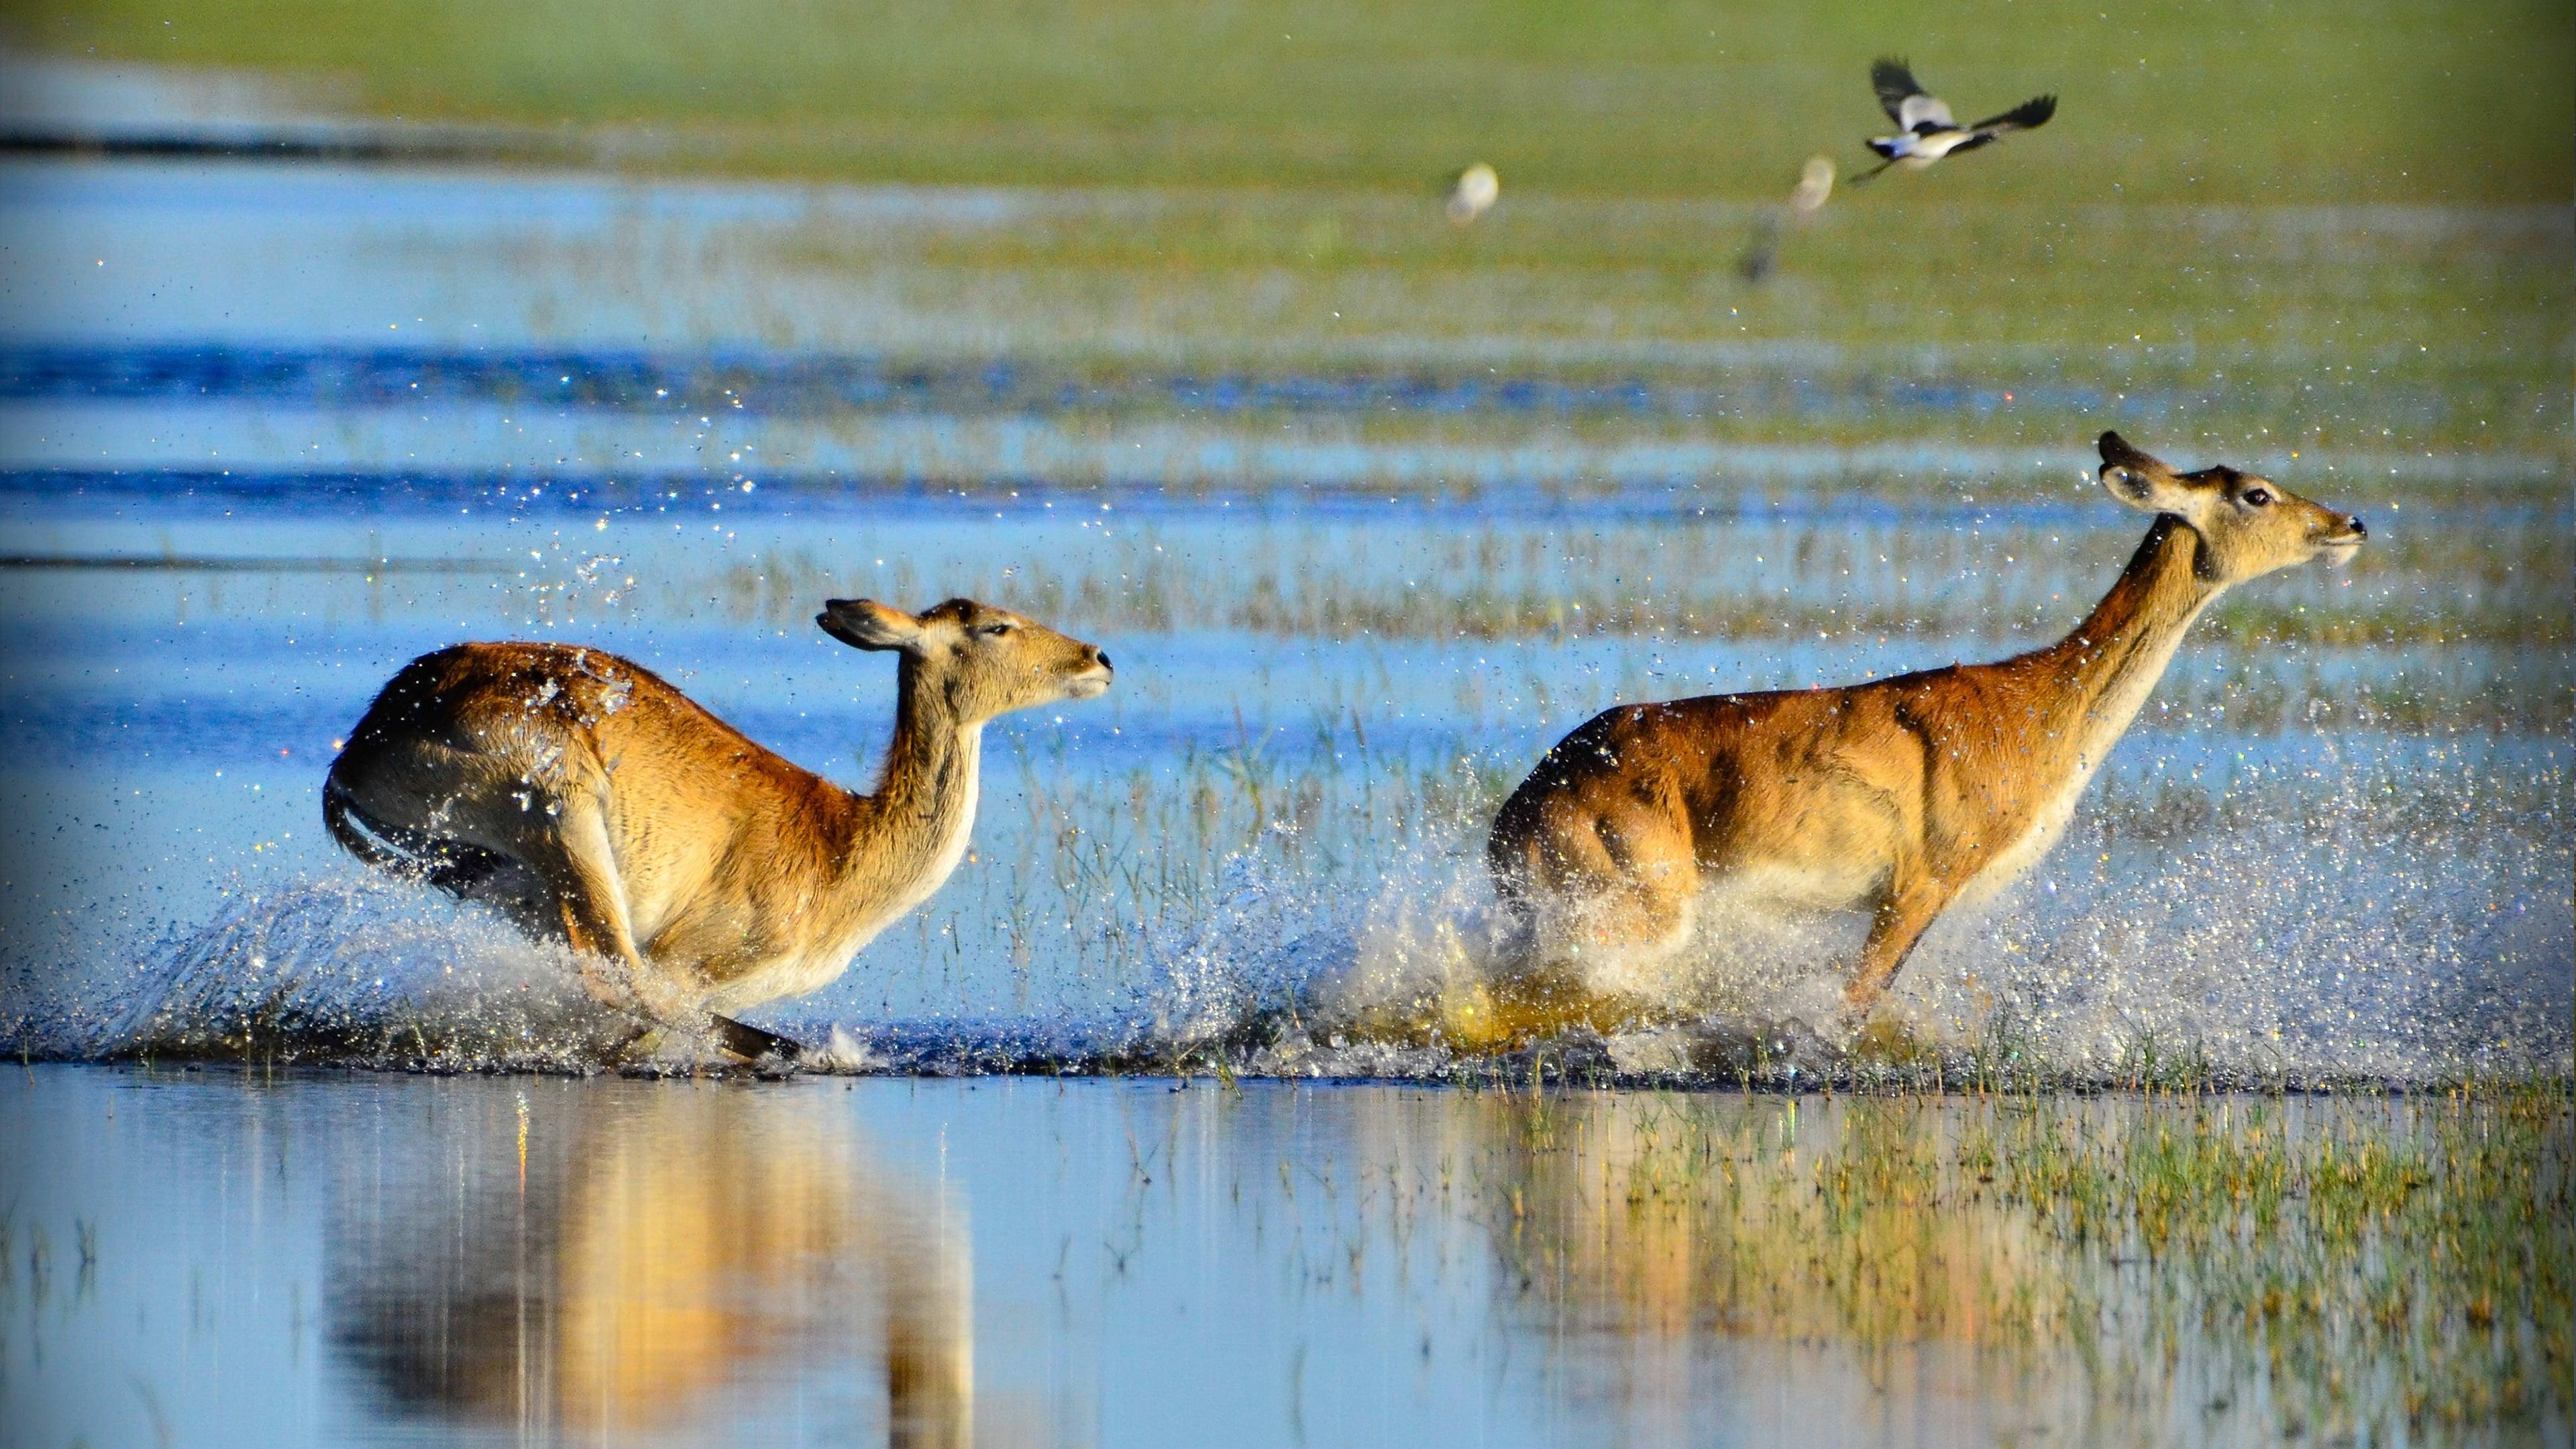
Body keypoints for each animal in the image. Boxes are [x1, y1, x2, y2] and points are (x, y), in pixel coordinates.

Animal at [327, 592, 1112, 1057]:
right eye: (997, 624)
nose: (1098, 658)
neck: (845, 848)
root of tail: (362, 742)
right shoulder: (690, 964)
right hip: (564, 816)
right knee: (617, 979)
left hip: (497, 876)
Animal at [1483, 428, 2359, 1036]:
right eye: (2256, 493)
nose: (2348, 522)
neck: (2038, 708)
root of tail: (1520, 807)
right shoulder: (1919, 882)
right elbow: (1852, 1002)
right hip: (1637, 902)